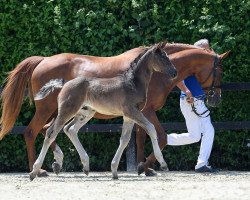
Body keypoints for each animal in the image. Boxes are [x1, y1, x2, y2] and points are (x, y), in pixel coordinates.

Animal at [0, 41, 229, 175]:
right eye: (219, 71)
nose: (216, 99)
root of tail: (42, 60)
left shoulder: (137, 113)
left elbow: (137, 137)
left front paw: (142, 167)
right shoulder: (146, 111)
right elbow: (159, 135)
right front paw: (148, 166)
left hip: (67, 111)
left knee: (52, 130)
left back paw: (59, 163)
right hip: (49, 109)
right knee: (33, 131)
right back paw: (37, 169)